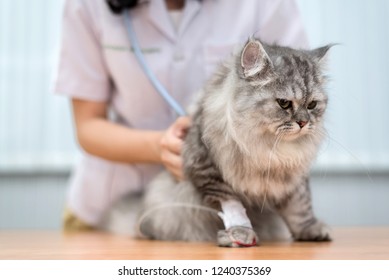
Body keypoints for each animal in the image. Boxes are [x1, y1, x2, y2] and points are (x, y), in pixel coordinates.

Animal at [109, 38, 330, 247]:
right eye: (284, 103)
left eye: (312, 105)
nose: (303, 123)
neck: (269, 146)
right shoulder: (208, 168)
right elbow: (232, 204)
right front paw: (240, 232)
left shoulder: (293, 176)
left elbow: (301, 209)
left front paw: (310, 230)